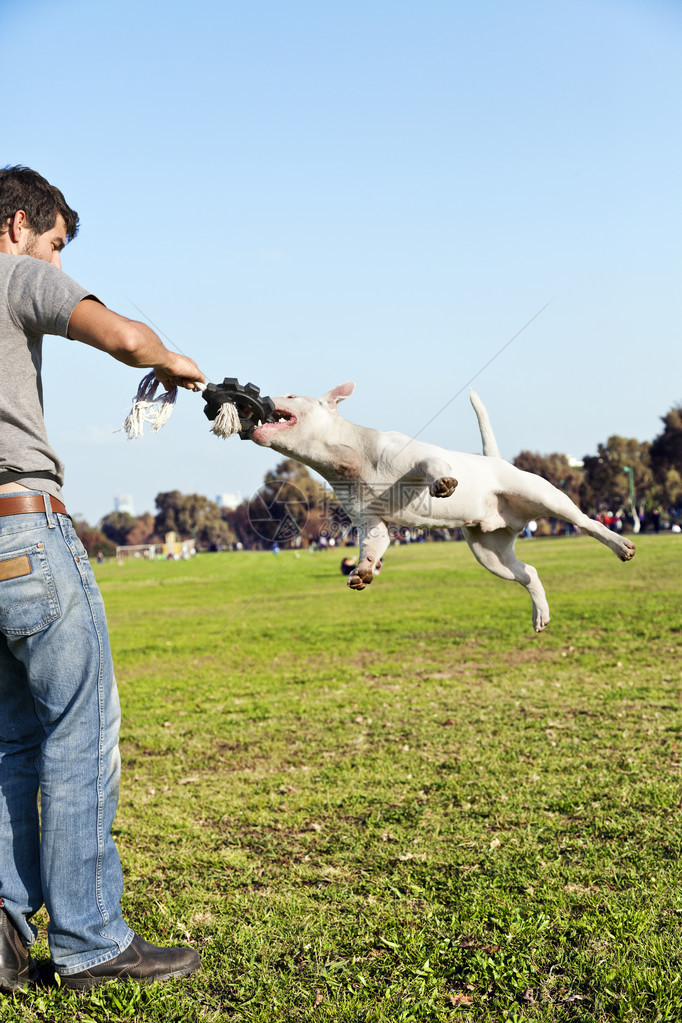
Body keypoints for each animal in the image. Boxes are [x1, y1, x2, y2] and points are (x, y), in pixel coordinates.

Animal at [250, 384, 633, 630]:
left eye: (290, 396)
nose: (262, 398)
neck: (348, 458)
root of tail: (497, 461)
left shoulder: (417, 457)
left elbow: (433, 465)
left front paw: (442, 484)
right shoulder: (370, 522)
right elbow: (373, 546)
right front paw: (362, 570)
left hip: (545, 497)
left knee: (585, 522)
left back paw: (620, 544)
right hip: (490, 555)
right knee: (529, 574)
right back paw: (540, 614)